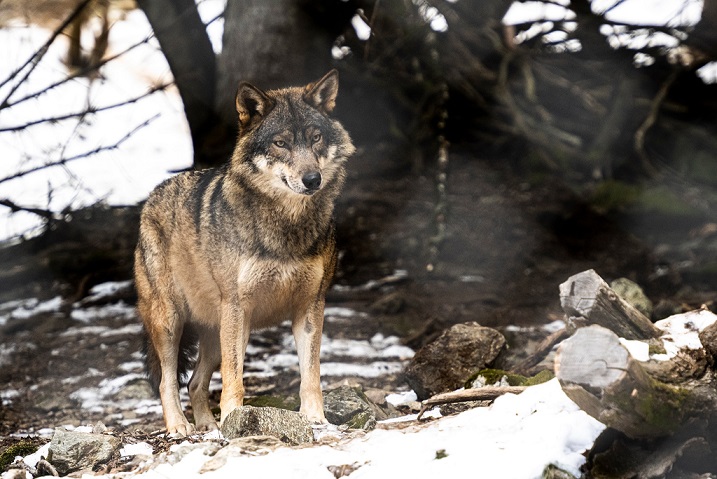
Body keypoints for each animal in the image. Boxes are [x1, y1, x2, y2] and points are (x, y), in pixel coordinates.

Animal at [134, 70, 355, 436]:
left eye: (316, 138)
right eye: (280, 143)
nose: (313, 179)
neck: (286, 227)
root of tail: (151, 197)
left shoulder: (310, 307)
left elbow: (311, 375)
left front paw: (316, 419)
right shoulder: (238, 308)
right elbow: (234, 378)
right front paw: (234, 418)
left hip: (215, 332)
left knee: (195, 382)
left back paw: (208, 425)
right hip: (173, 323)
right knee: (168, 382)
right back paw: (180, 426)